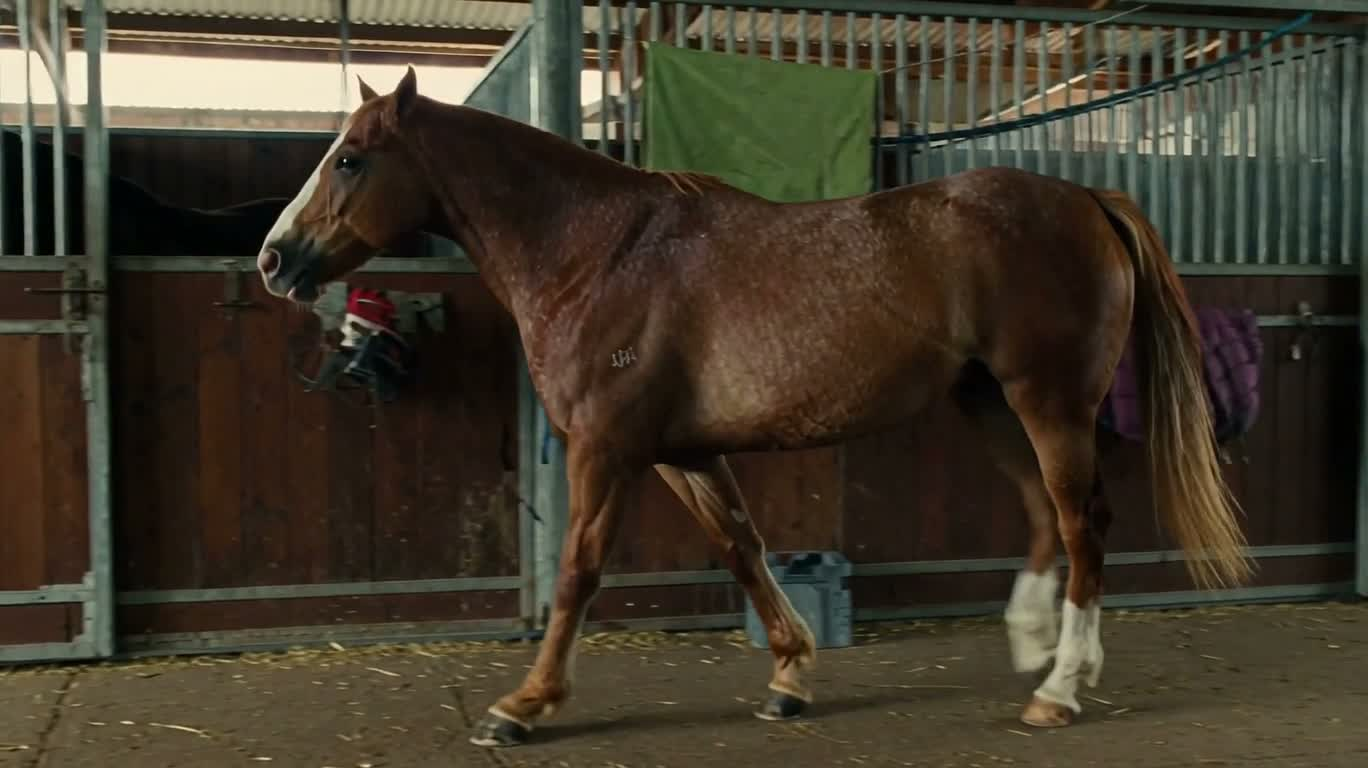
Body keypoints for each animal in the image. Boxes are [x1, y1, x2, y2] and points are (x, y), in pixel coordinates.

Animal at [252, 66, 1254, 748]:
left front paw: (523, 704)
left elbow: (579, 572)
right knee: (1047, 519)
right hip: (990, 406)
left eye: (350, 159)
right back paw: (1034, 646)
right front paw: (790, 677)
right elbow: (743, 549)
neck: (597, 255)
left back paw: (1061, 687)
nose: (272, 259)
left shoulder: (605, 450)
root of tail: (1086, 195)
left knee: (1084, 525)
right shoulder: (681, 453)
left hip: (1048, 402)